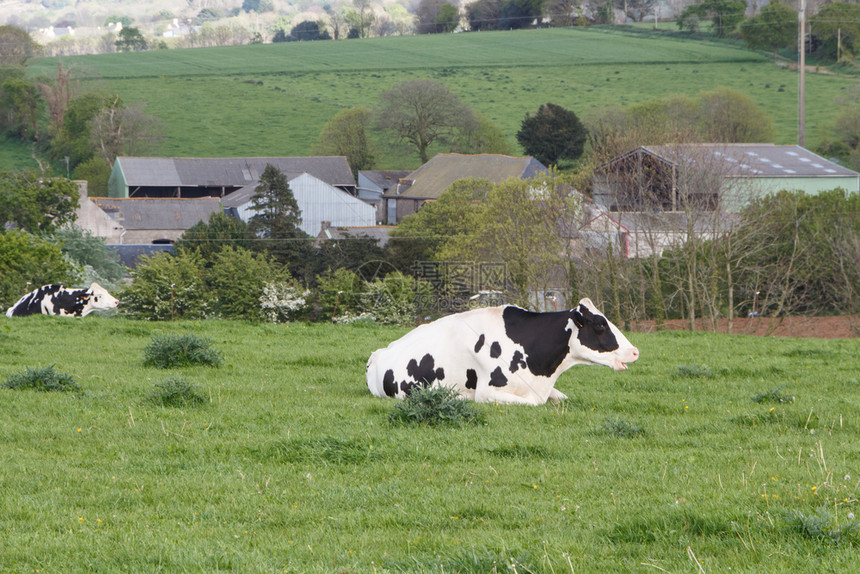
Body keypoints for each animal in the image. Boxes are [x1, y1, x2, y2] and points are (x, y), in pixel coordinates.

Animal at [364, 300, 640, 408]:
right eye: (600, 325)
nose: (635, 351)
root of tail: (379, 352)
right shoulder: (488, 392)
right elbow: (534, 403)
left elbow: (562, 398)